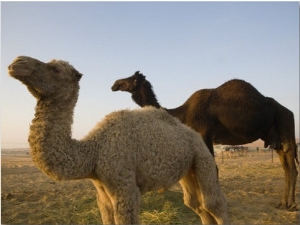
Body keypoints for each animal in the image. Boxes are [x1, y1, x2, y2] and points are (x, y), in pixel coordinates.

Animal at [112, 71, 298, 212]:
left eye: (132, 79)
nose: (115, 84)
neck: (182, 113)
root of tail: (288, 111)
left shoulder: (205, 135)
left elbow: (213, 169)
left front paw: (212, 203)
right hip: (276, 138)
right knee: (286, 168)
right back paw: (282, 203)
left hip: (286, 125)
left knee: (292, 168)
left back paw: (292, 205)